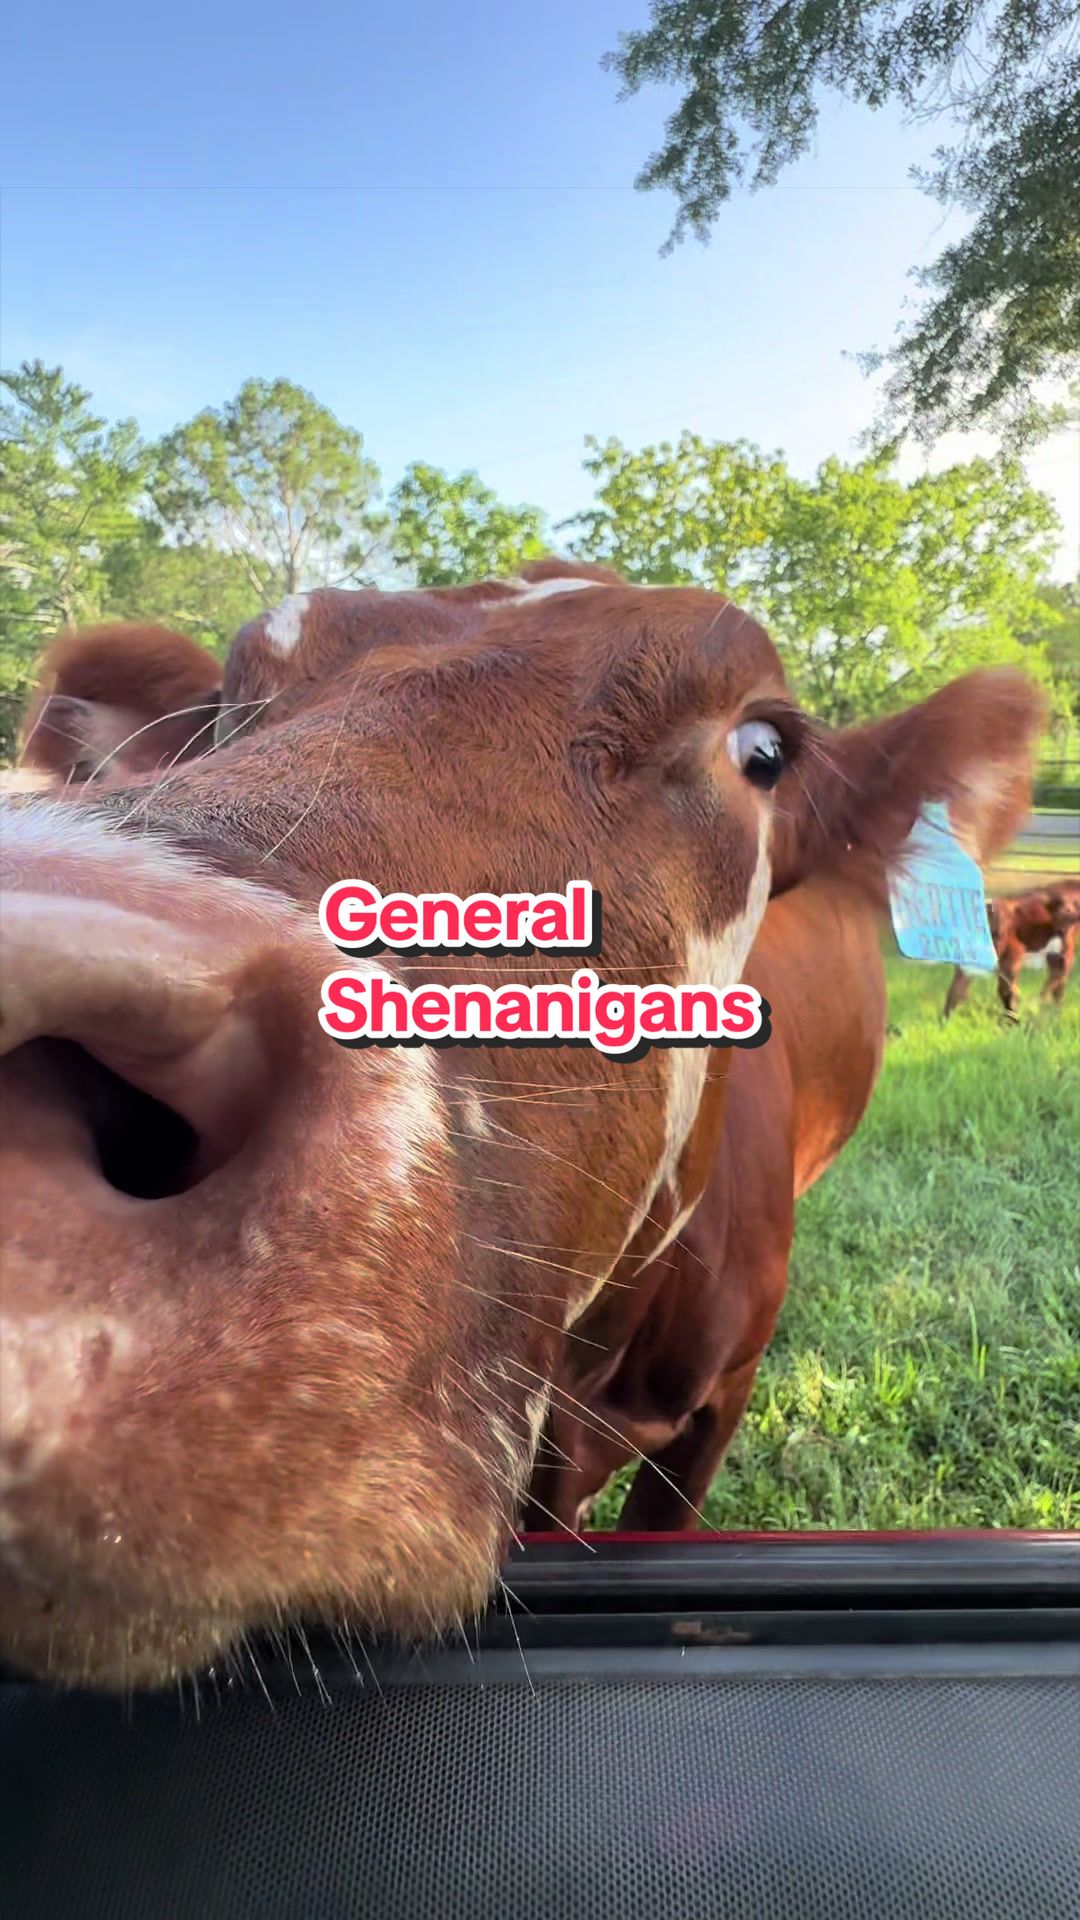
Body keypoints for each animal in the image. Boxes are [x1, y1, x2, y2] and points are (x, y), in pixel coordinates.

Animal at [943, 880, 1080, 1020]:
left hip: (1064, 952)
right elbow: (954, 992)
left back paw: (1041, 1009)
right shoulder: (965, 967)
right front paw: (945, 1022)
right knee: (1057, 985)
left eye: (998, 932)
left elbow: (1006, 992)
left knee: (1058, 981)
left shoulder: (1012, 958)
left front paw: (1010, 1021)